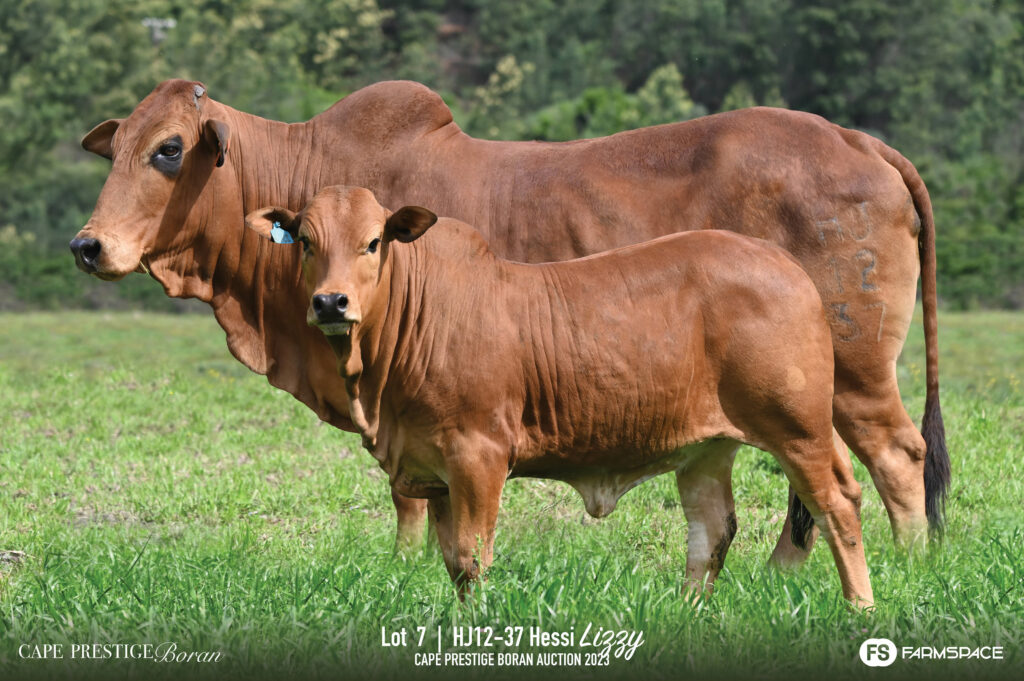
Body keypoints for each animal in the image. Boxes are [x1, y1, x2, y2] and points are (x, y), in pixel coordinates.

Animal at [70, 79, 948, 563]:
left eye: (170, 149)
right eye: (115, 151)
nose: (89, 245)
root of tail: (857, 139)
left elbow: (412, 505)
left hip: (853, 369)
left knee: (895, 458)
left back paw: (909, 568)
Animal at [242, 185, 874, 607]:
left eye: (373, 242)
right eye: (304, 241)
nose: (331, 302)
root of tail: (782, 261)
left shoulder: (478, 456)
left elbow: (472, 558)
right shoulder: (434, 469)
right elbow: (450, 562)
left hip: (798, 427)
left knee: (837, 503)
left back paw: (859, 609)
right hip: (707, 449)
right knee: (712, 530)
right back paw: (687, 611)